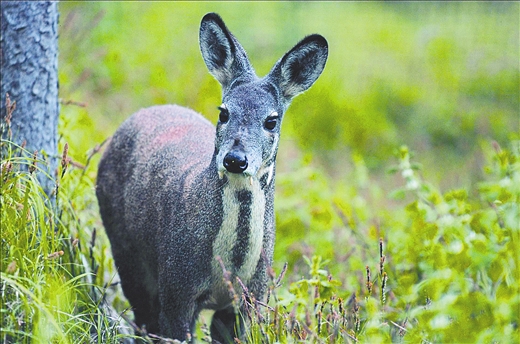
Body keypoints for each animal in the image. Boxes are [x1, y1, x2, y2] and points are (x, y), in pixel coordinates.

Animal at [95, 12, 328, 342]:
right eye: (223, 112)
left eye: (271, 120)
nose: (235, 159)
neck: (229, 268)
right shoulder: (176, 287)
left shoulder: (252, 297)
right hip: (126, 250)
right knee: (143, 316)